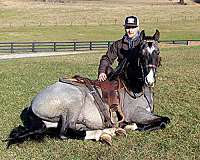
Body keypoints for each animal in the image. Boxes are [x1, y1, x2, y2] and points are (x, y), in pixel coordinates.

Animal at [3, 29, 170, 148]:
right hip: (74, 100)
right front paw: (130, 126)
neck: (132, 85)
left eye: (157, 52)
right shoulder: (136, 113)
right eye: (141, 54)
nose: (149, 80)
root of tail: (33, 104)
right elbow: (163, 121)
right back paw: (104, 132)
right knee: (65, 132)